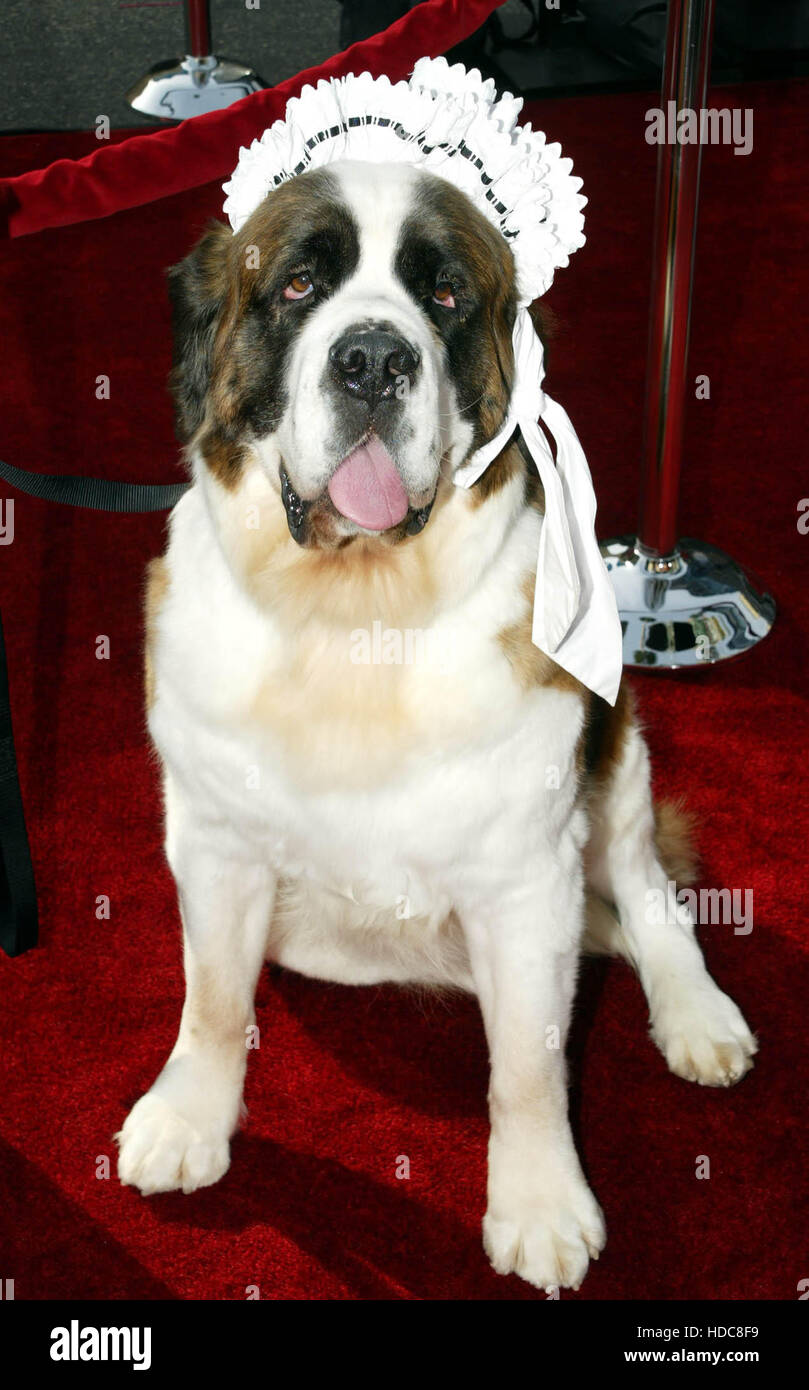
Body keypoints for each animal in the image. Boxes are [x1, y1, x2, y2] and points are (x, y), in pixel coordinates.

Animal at [116, 159, 761, 1289]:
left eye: (447, 295)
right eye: (297, 284)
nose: (373, 359)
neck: (354, 614)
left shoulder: (527, 875)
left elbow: (528, 1069)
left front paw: (539, 1203)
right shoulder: (214, 841)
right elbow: (212, 996)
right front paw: (189, 1115)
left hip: (619, 757)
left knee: (647, 897)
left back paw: (695, 1012)